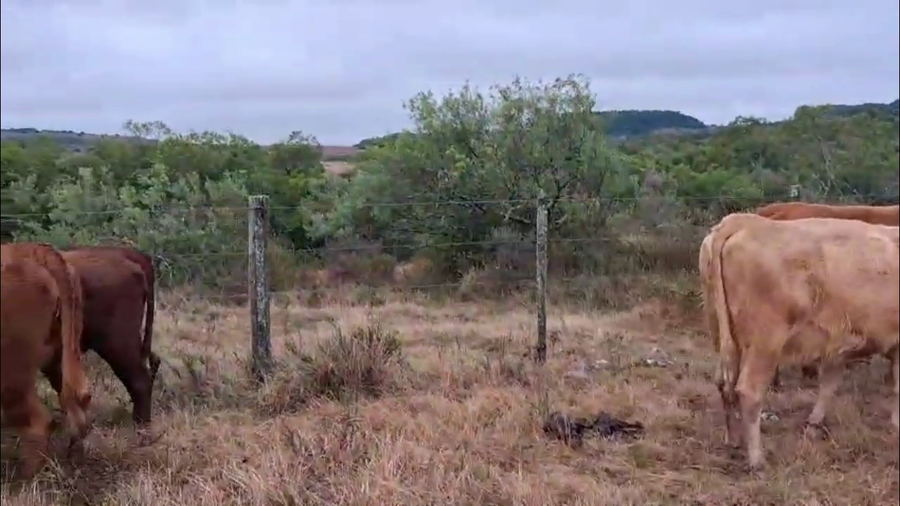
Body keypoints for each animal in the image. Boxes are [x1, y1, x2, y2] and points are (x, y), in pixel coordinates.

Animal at [1, 243, 92, 478]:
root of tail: (33, 250)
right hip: (60, 358)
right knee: (77, 406)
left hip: (10, 372)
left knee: (39, 422)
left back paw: (23, 480)